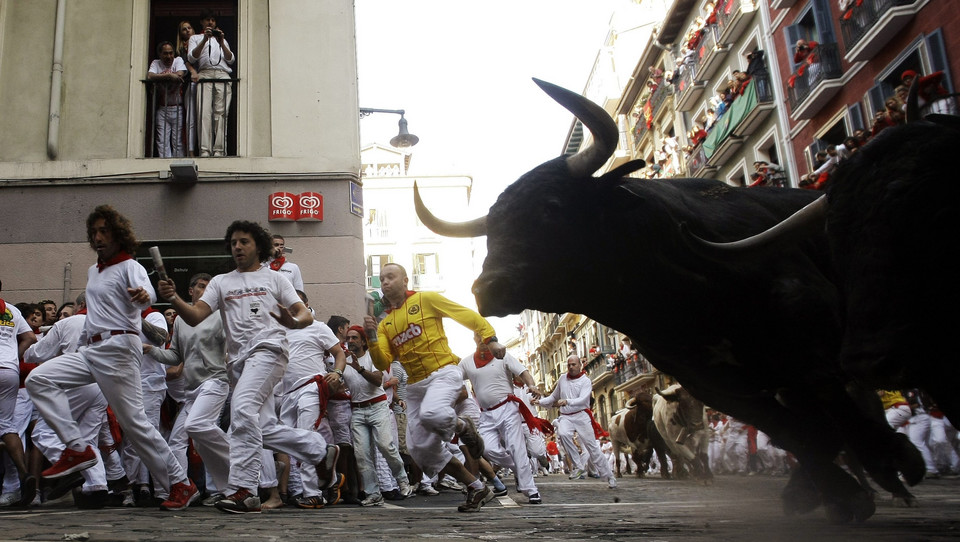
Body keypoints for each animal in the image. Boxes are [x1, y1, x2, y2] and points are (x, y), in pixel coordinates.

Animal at [416, 78, 928, 524]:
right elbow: (797, 430)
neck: (680, 288)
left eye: (551, 207)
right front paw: (845, 494)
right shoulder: (711, 380)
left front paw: (889, 465)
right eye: (493, 228)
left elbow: (831, 407)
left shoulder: (810, 331)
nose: (488, 287)